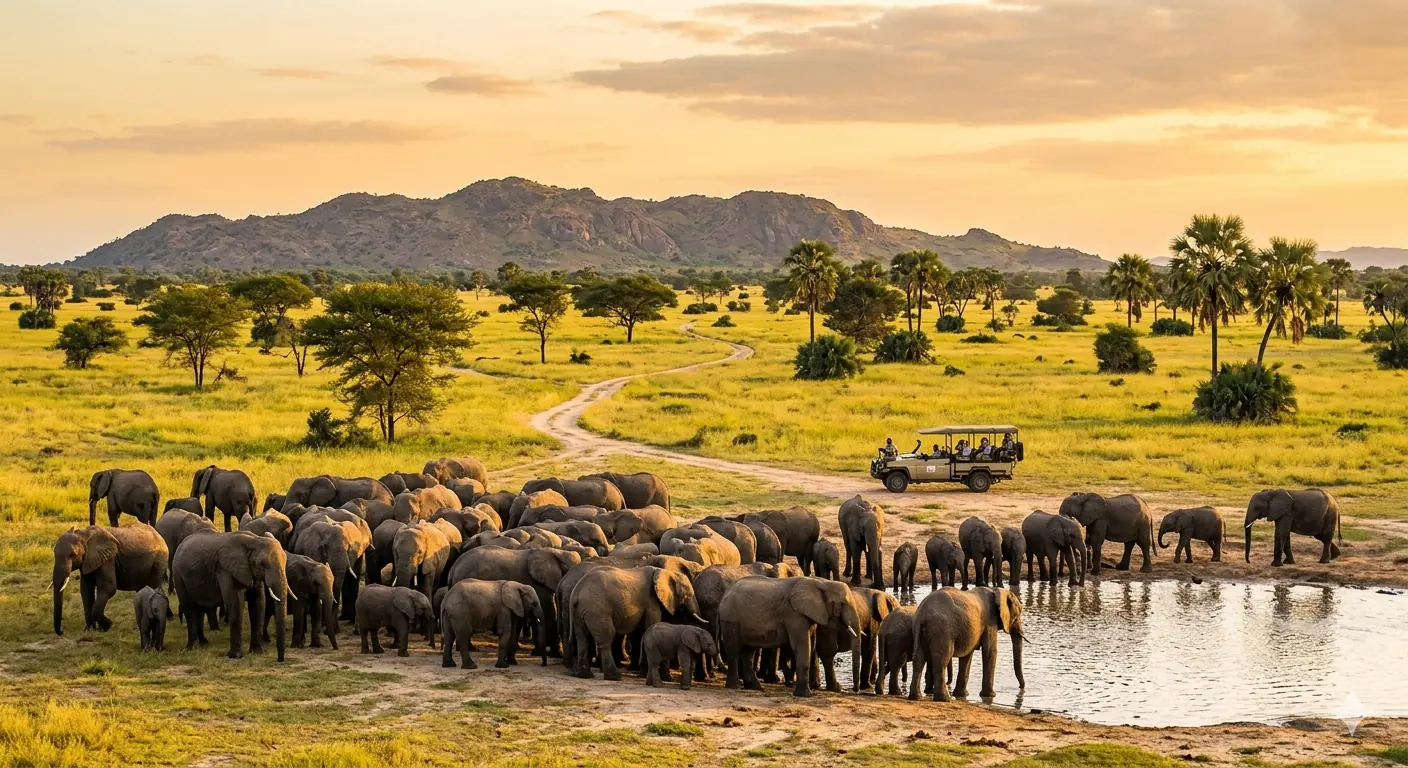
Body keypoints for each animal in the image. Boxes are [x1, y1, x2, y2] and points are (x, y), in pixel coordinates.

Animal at [171, 531, 289, 661]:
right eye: (262, 564)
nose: (280, 660)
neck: (254, 540)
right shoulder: (225, 570)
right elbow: (235, 605)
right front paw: (235, 656)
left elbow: (258, 604)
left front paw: (258, 652)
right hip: (178, 576)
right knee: (189, 610)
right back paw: (192, 647)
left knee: (199, 609)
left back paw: (203, 643)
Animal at [447, 546, 581, 658]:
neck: (558, 552)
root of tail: (453, 569)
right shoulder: (538, 583)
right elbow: (549, 611)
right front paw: (556, 655)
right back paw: (471, 649)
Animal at [567, 565, 702, 681]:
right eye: (689, 594)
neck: (667, 572)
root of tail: (576, 591)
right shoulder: (651, 602)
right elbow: (651, 627)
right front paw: (659, 677)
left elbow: (640, 633)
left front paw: (646, 675)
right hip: (597, 610)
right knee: (606, 638)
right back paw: (614, 677)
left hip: (580, 612)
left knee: (582, 640)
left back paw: (584, 675)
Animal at [720, 576, 861, 698]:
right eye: (843, 604)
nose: (855, 690)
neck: (822, 582)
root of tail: (726, 592)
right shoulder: (793, 613)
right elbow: (801, 644)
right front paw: (805, 695)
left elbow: (808, 645)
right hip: (730, 619)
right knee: (734, 651)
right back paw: (734, 686)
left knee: (748, 652)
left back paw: (756, 688)